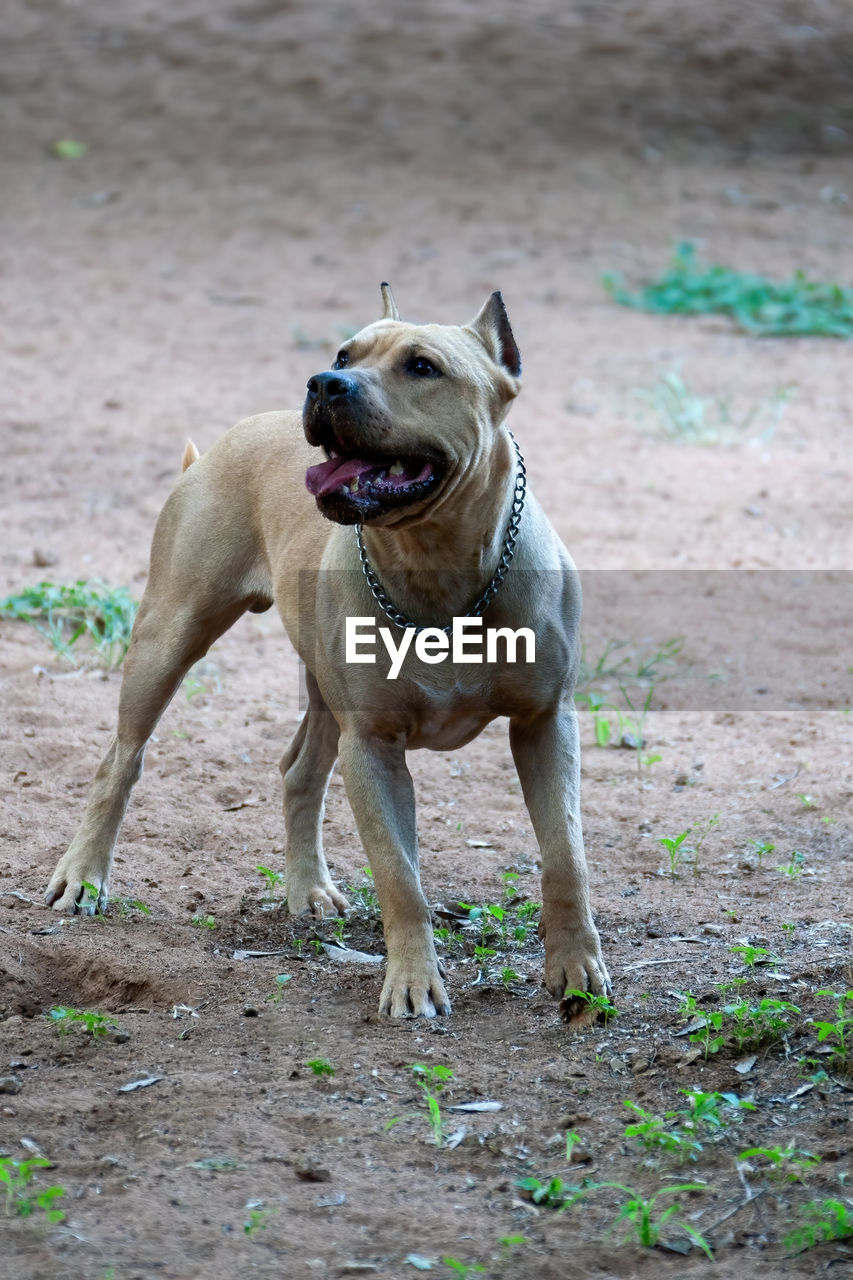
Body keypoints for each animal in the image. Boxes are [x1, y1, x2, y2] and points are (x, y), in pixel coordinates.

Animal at [46, 288, 607, 1018]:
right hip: (167, 637)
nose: (323, 383)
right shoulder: (371, 747)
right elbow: (400, 876)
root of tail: (216, 449)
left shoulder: (544, 724)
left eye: (422, 366)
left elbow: (565, 855)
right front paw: (412, 982)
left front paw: (576, 970)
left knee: (299, 772)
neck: (435, 562)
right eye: (344, 355)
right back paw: (82, 876)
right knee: (121, 760)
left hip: (315, 683)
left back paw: (306, 889)